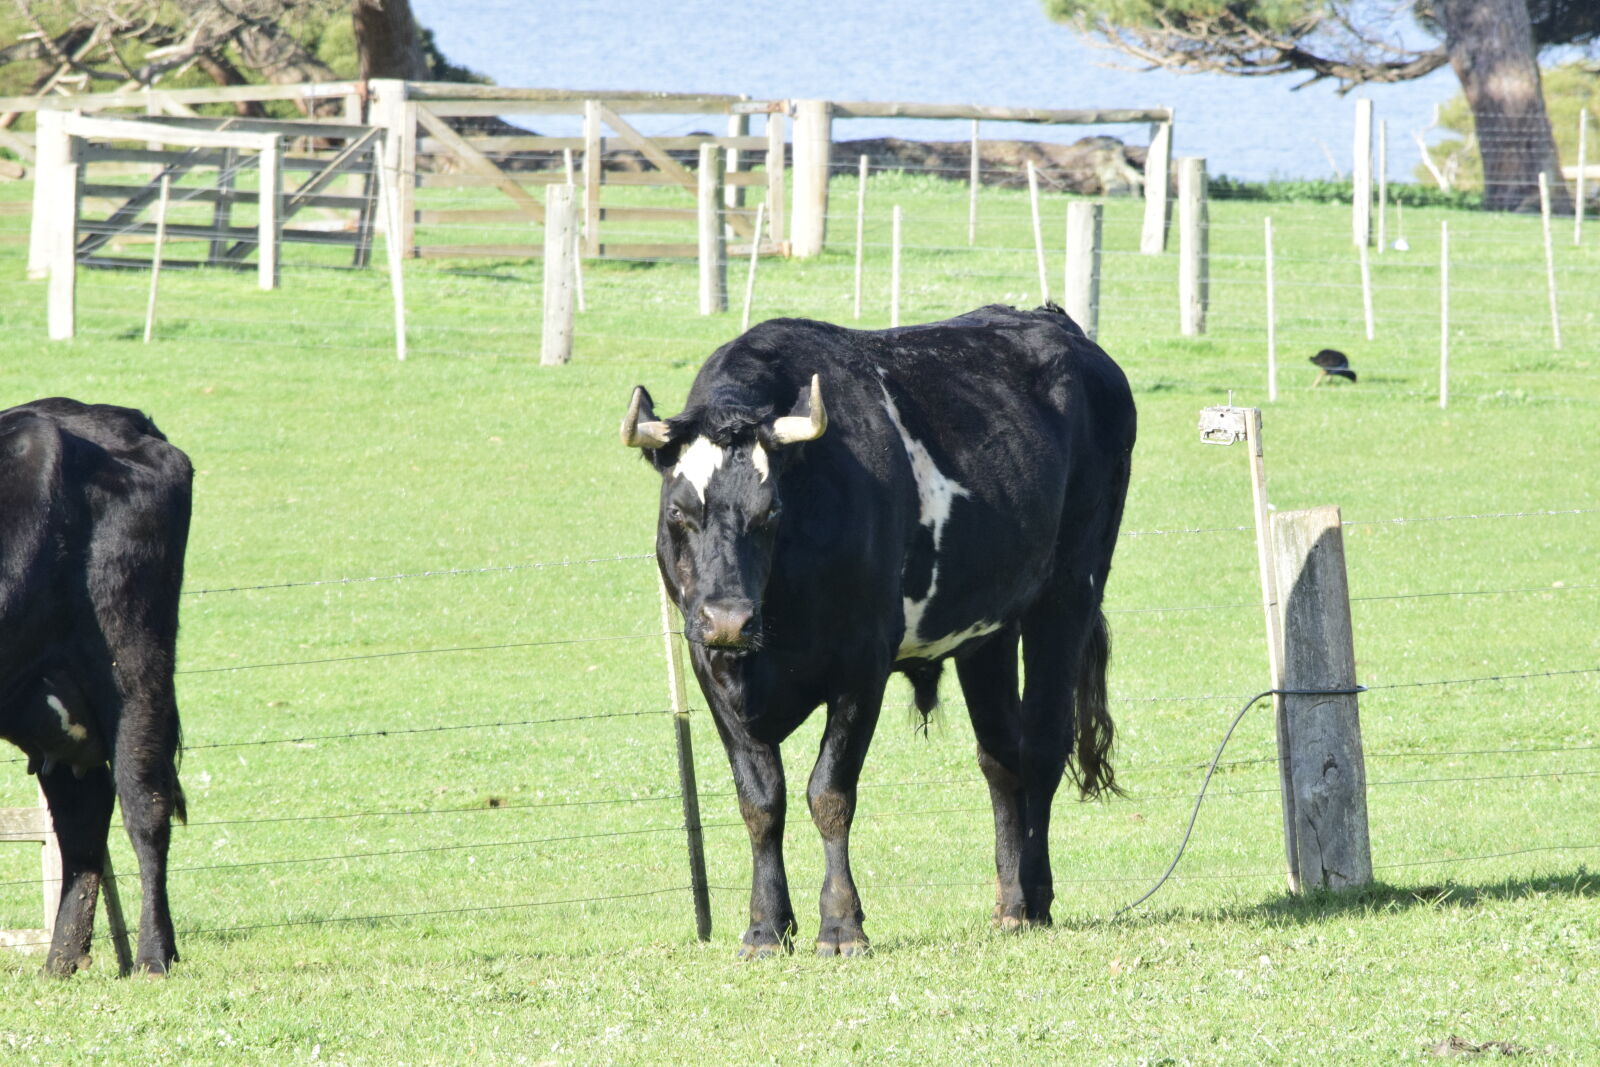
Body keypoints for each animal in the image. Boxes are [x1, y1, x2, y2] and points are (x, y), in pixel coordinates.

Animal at [0, 398, 192, 976]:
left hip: (134, 662)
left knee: (143, 803)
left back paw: (154, 955)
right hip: (43, 699)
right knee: (81, 816)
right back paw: (61, 963)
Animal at [621, 304, 1135, 956]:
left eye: (771, 512)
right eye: (678, 511)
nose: (729, 618)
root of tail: (1056, 323)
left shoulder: (861, 665)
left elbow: (829, 793)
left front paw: (842, 925)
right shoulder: (710, 667)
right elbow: (760, 801)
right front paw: (765, 927)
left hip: (1069, 591)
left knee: (1044, 744)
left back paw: (1035, 898)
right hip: (986, 631)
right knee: (1001, 757)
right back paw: (1009, 901)